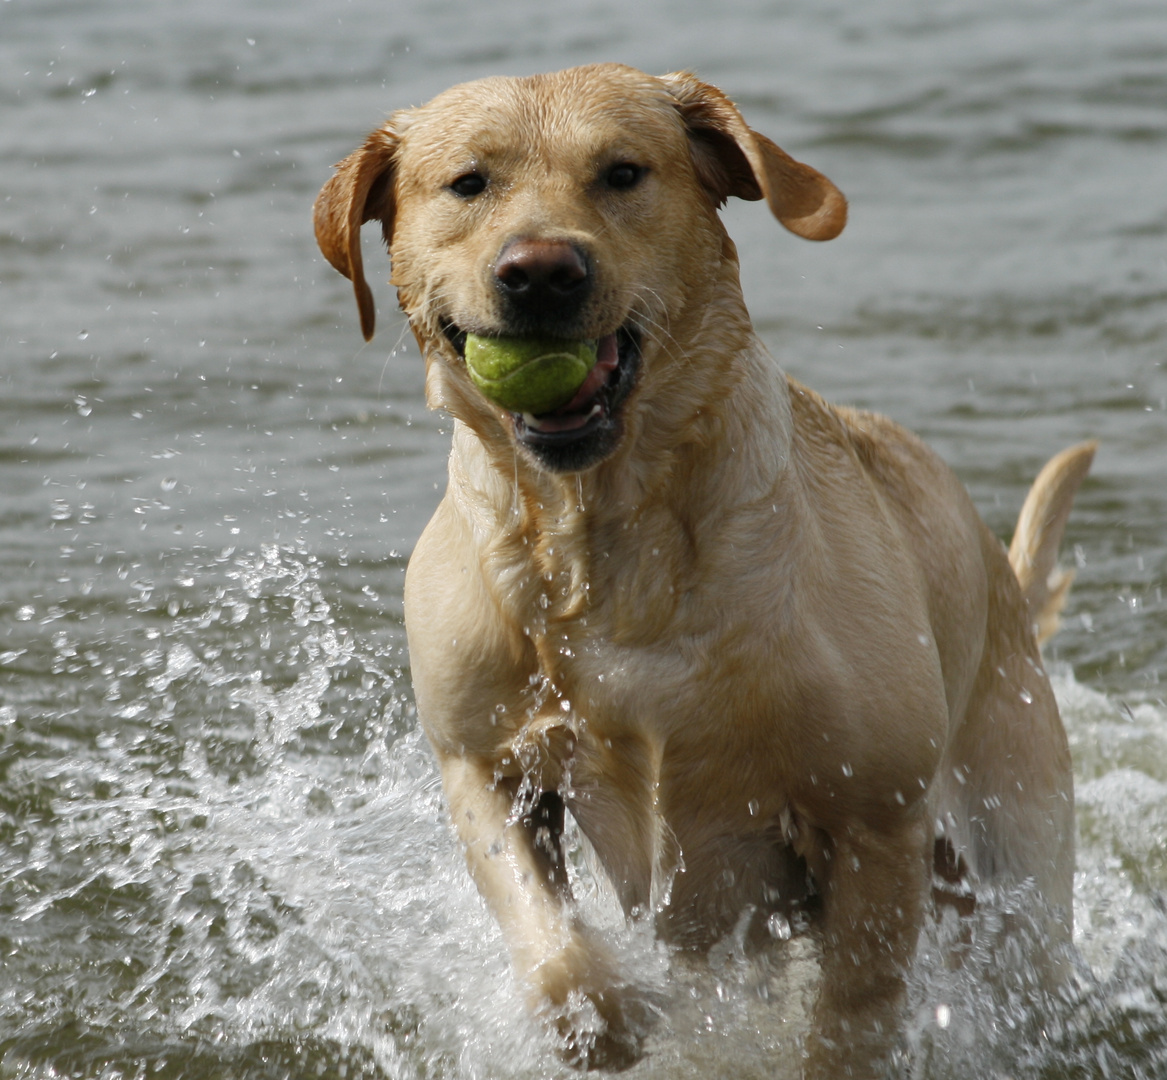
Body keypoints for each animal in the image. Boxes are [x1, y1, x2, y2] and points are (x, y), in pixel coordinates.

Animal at [312, 65, 1092, 1078]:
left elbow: (854, 1011)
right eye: (469, 184)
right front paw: (602, 1016)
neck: (604, 532)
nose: (541, 270)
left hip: (1014, 843)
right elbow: (549, 942)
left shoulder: (874, 819)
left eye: (621, 173)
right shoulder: (480, 763)